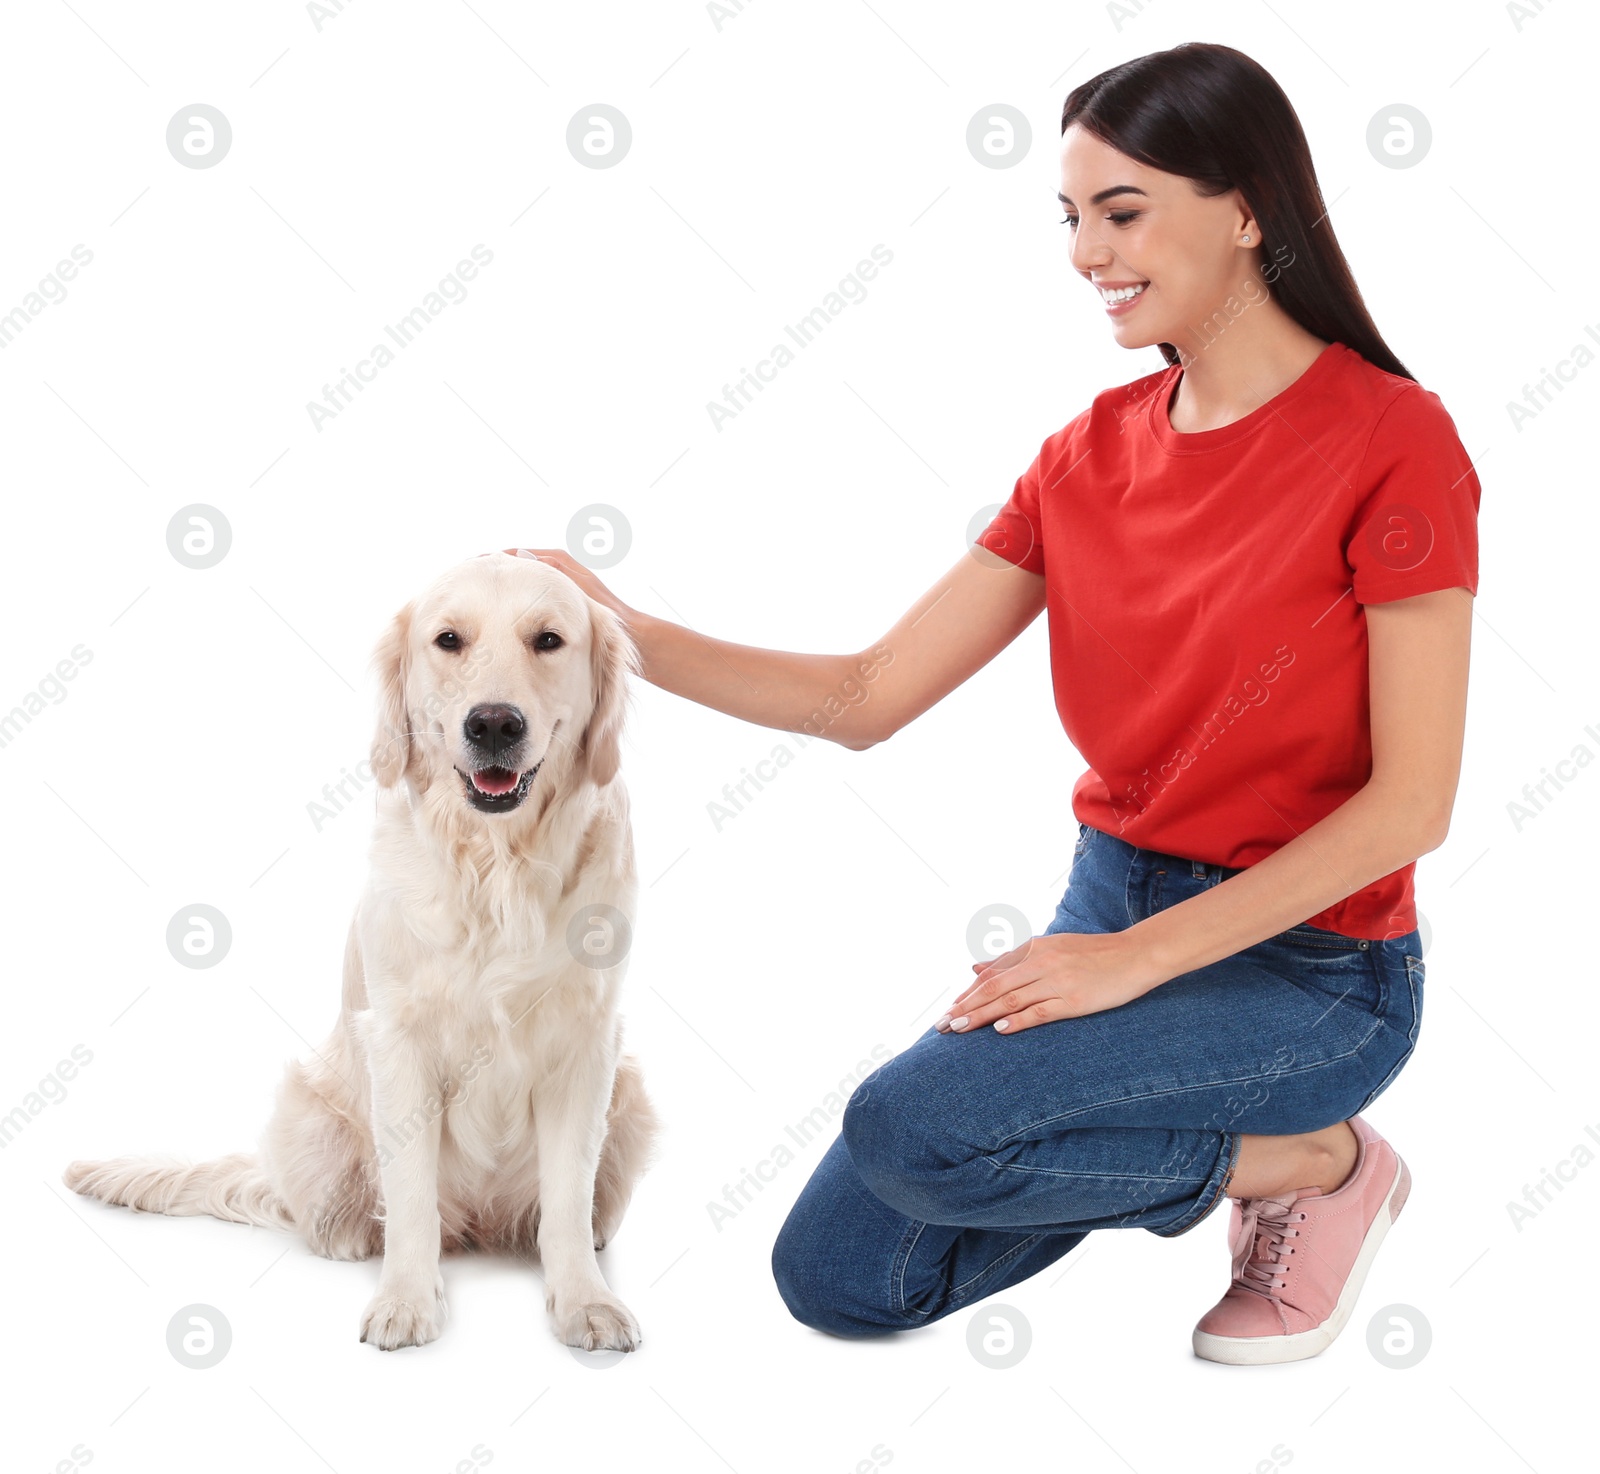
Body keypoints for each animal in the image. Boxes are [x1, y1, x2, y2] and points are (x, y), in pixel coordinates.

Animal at [62, 556, 659, 1350]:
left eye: (549, 639)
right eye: (448, 639)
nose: (493, 723)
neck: (497, 866)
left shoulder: (587, 1044)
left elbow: (565, 1192)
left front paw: (584, 1301)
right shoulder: (399, 1039)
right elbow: (408, 1194)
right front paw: (405, 1299)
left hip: (633, 1091)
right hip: (307, 1107)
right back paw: (351, 1233)